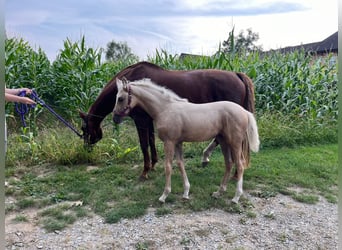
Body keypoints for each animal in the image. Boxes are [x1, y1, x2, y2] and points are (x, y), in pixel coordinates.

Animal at [79, 60, 254, 180]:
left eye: (83, 129)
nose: (86, 149)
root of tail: (237, 75)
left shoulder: (140, 121)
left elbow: (144, 144)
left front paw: (144, 171)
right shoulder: (149, 120)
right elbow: (151, 141)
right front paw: (153, 165)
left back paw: (232, 171)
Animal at [112, 78, 260, 203]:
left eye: (120, 98)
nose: (115, 118)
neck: (165, 109)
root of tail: (244, 111)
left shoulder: (169, 142)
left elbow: (168, 166)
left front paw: (164, 195)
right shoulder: (177, 142)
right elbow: (180, 164)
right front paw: (186, 193)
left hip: (234, 142)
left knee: (239, 165)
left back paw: (236, 197)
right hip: (224, 141)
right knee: (229, 163)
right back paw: (218, 192)